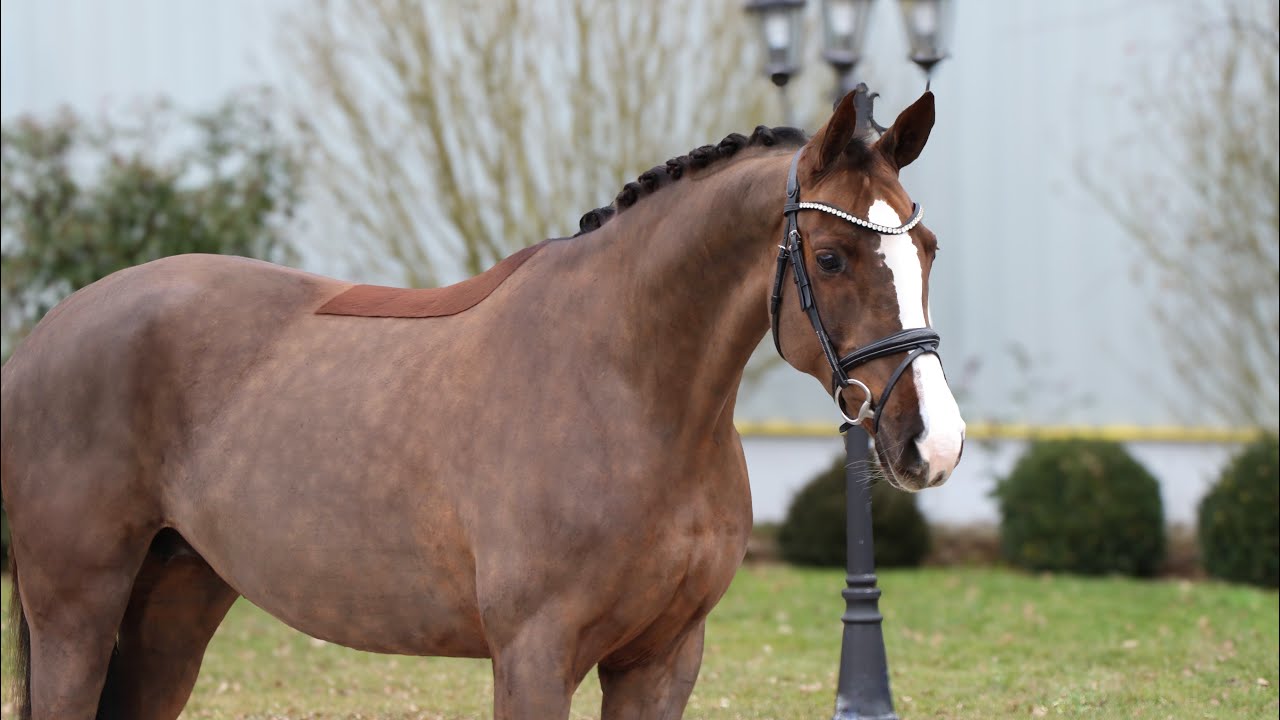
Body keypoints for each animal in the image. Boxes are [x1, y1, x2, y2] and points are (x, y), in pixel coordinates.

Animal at [1, 87, 964, 720]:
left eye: (925, 247)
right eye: (832, 257)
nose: (936, 441)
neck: (626, 385)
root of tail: (47, 333)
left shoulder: (663, 659)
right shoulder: (534, 656)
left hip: (175, 602)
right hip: (75, 612)